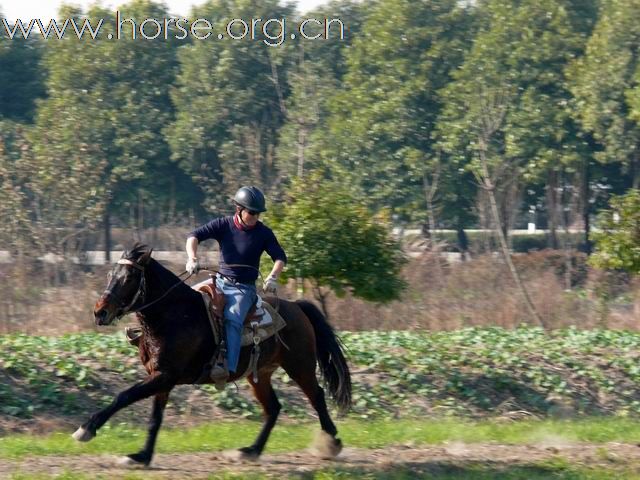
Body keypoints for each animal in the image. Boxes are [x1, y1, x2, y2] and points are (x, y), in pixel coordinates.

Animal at [73, 244, 352, 464]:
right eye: (111, 274)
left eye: (129, 277)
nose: (99, 312)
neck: (174, 316)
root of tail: (297, 307)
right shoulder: (160, 377)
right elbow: (155, 418)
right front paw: (141, 456)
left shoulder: (164, 376)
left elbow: (124, 396)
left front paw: (86, 428)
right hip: (259, 374)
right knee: (273, 408)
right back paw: (250, 451)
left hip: (300, 366)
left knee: (316, 396)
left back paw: (332, 442)